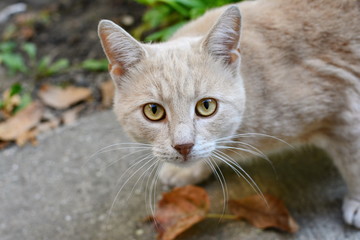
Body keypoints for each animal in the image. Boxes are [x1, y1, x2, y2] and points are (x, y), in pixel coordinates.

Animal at [97, 0, 360, 229]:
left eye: (206, 106)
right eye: (153, 111)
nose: (183, 146)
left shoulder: (347, 111)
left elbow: (353, 161)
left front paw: (356, 203)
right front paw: (190, 170)